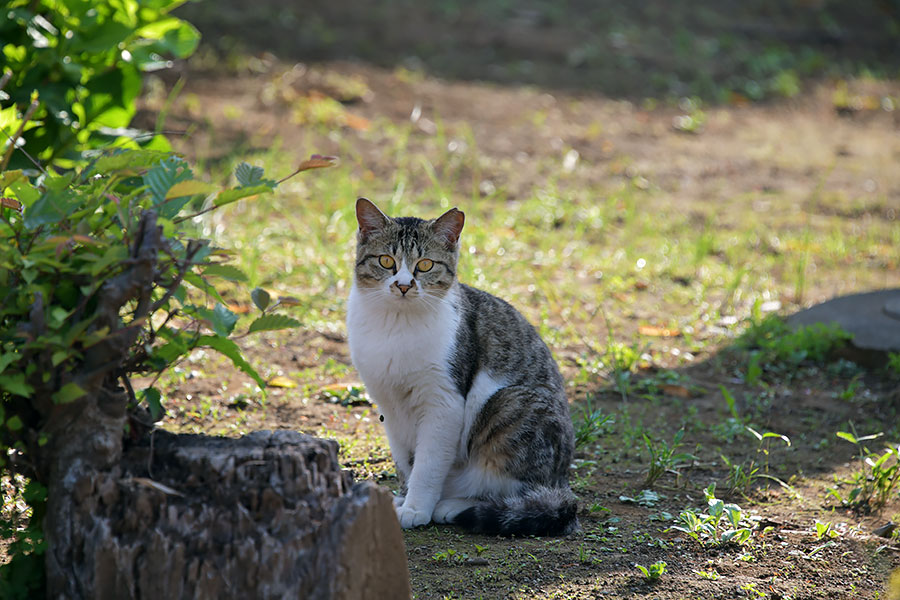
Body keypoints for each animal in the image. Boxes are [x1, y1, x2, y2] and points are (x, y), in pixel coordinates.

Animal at [344, 199, 576, 536]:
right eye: (386, 261)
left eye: (425, 265)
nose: (403, 285)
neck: (397, 325)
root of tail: (563, 480)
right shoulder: (388, 404)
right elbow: (405, 460)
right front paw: (404, 499)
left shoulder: (444, 401)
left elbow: (427, 464)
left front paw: (416, 508)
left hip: (510, 406)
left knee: (514, 489)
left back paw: (456, 505)